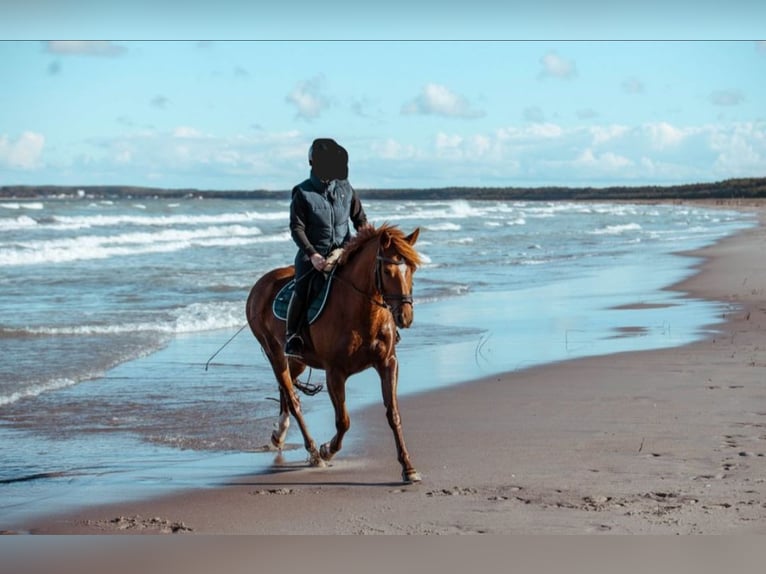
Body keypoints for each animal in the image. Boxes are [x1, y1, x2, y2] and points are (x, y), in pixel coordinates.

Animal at [246, 223, 423, 483]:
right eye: (387, 270)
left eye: (411, 269)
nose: (405, 317)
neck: (361, 311)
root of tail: (261, 283)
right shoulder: (335, 373)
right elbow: (343, 421)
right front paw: (326, 450)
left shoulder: (388, 363)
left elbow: (393, 414)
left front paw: (408, 468)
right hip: (274, 352)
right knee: (292, 397)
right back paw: (312, 451)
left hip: (297, 359)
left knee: (285, 390)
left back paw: (279, 434)